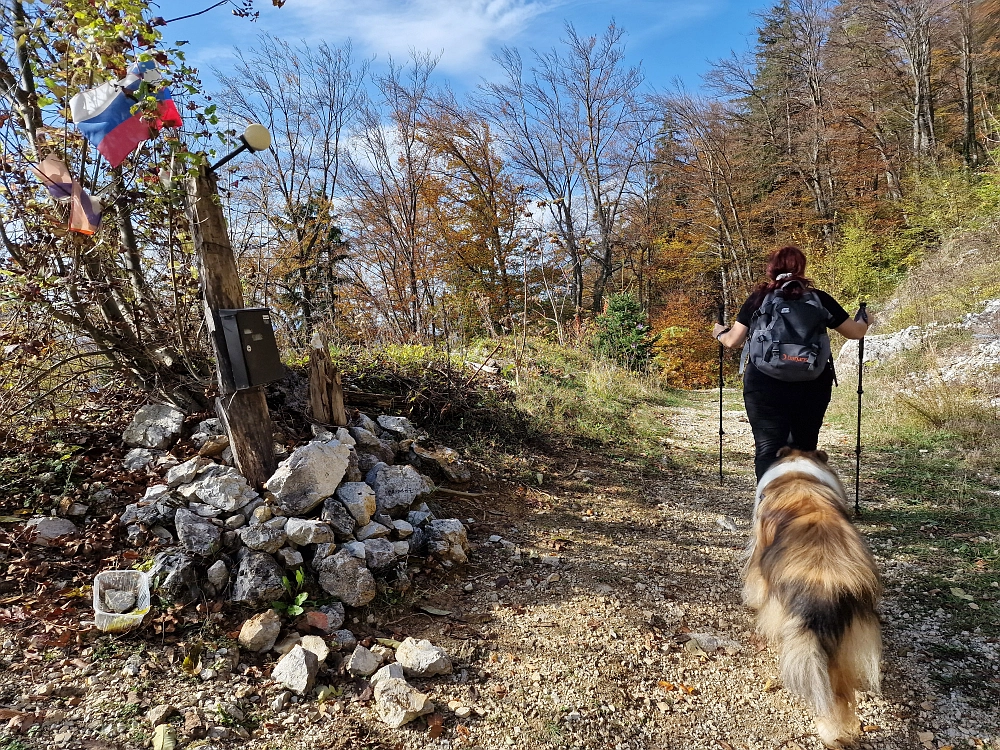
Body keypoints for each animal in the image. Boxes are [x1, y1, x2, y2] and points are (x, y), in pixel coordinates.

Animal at [744, 450, 884, 748]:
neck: (798, 472)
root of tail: (827, 588)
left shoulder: (760, 554)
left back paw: (827, 730)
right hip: (843, 642)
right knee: (841, 693)